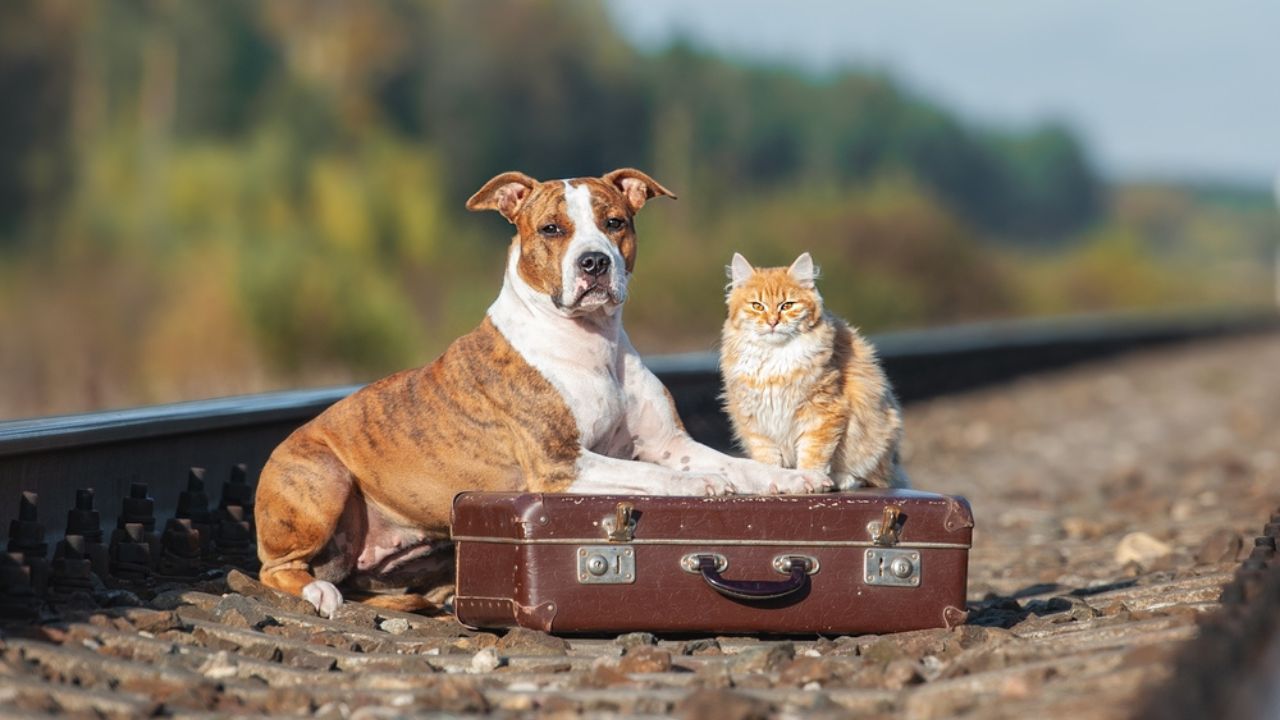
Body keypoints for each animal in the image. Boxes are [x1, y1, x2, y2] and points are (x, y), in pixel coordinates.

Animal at [721, 251, 911, 486]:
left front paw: (811, 479)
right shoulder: (754, 421)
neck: (776, 358)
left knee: (870, 477)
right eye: (757, 306)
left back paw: (841, 479)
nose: (773, 322)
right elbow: (767, 459)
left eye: (787, 305)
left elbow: (813, 454)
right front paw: (775, 480)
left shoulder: (822, 412)